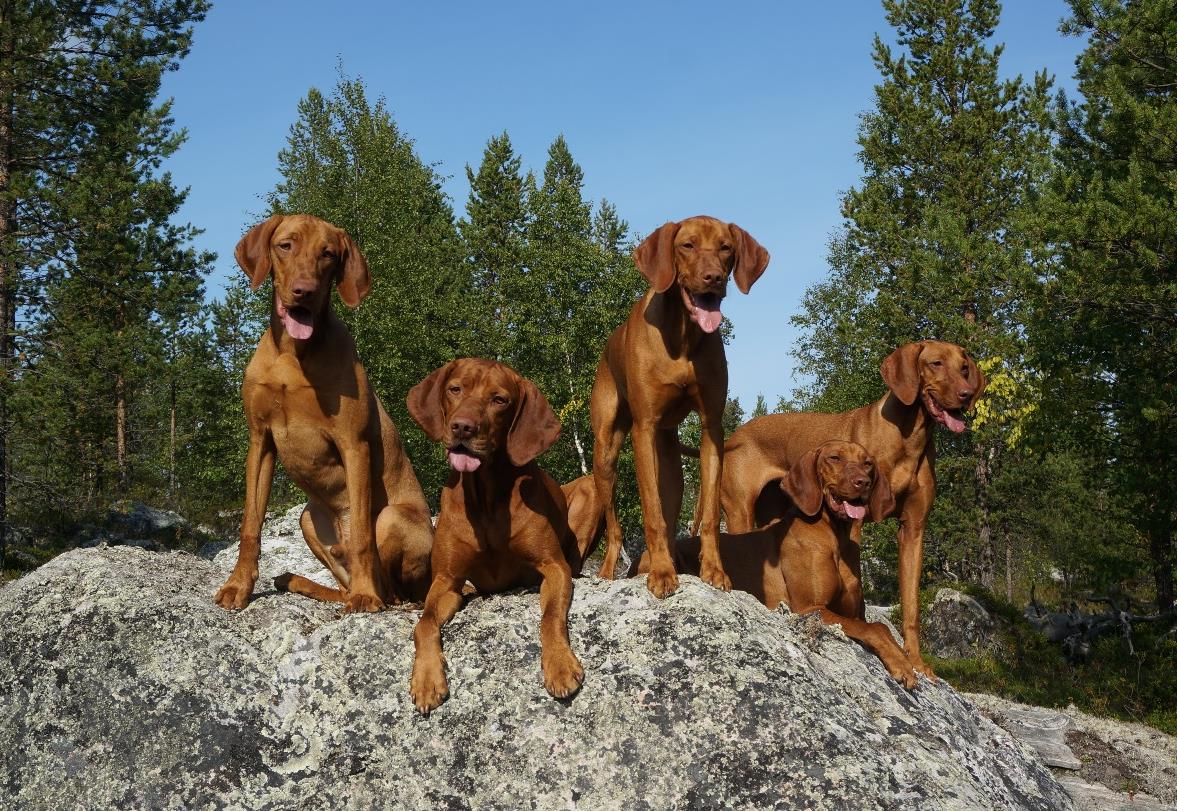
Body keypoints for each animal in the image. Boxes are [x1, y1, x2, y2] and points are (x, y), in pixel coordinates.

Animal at [213, 211, 433, 612]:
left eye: (328, 254)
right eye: (285, 245)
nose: (305, 291)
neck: (292, 355)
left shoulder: (354, 445)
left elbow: (362, 535)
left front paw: (365, 595)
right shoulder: (260, 441)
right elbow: (250, 525)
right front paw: (238, 585)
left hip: (392, 518)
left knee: (393, 589)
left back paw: (371, 593)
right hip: (308, 517)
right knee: (341, 584)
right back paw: (296, 581)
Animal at [407, 357, 586, 710]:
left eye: (499, 400)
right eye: (455, 389)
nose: (462, 428)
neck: (486, 498)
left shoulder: (554, 567)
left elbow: (550, 615)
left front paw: (559, 664)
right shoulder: (447, 581)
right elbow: (424, 623)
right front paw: (426, 677)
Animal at [644, 440, 908, 687]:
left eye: (868, 463)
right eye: (835, 458)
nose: (863, 482)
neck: (836, 536)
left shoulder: (850, 612)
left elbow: (879, 626)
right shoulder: (809, 608)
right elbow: (875, 627)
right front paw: (901, 664)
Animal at [715, 338, 983, 677]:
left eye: (964, 368)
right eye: (935, 363)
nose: (966, 394)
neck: (909, 438)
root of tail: (734, 435)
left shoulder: (914, 528)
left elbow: (911, 606)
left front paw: (917, 662)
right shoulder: (854, 523)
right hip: (741, 512)